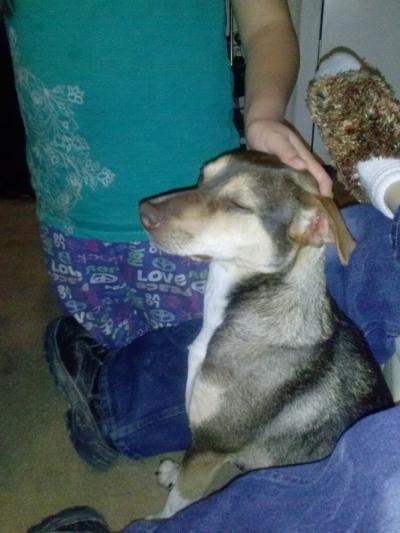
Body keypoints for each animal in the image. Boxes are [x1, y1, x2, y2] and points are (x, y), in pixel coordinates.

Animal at [139, 149, 392, 518]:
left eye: (238, 205)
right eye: (202, 177)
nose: (144, 212)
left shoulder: (213, 445)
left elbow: (177, 504)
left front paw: (161, 518)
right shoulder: (203, 443)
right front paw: (173, 471)